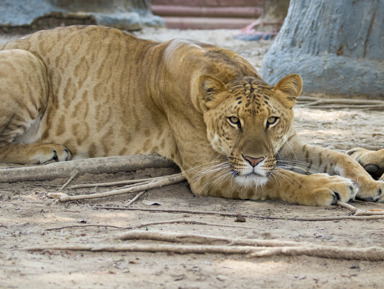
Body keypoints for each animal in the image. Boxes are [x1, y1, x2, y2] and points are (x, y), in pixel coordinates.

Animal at [0, 25, 384, 205]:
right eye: (234, 121)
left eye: (272, 121)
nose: (255, 158)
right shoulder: (207, 172)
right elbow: (278, 179)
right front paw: (330, 187)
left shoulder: (281, 146)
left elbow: (335, 154)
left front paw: (368, 181)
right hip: (28, 61)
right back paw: (48, 150)